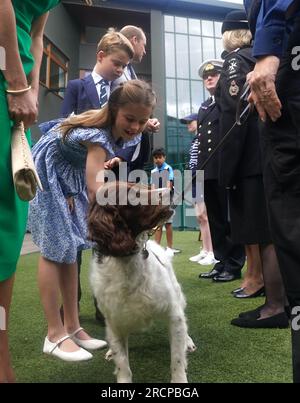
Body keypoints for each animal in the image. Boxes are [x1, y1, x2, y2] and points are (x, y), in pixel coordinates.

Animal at [88, 184, 196, 386]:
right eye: (133, 194)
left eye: (146, 186)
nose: (172, 188)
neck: (127, 262)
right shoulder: (115, 322)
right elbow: (122, 363)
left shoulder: (172, 313)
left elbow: (177, 359)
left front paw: (179, 379)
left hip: (178, 296)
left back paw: (188, 341)